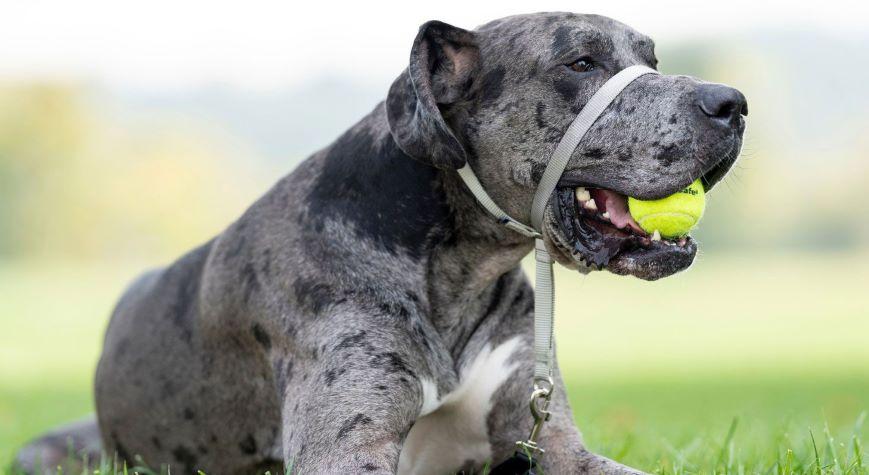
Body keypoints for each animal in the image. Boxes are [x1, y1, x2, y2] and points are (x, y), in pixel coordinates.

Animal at [15, 11, 744, 475]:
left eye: (651, 60)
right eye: (581, 62)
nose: (732, 102)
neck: (455, 268)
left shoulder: (556, 444)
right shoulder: (343, 449)